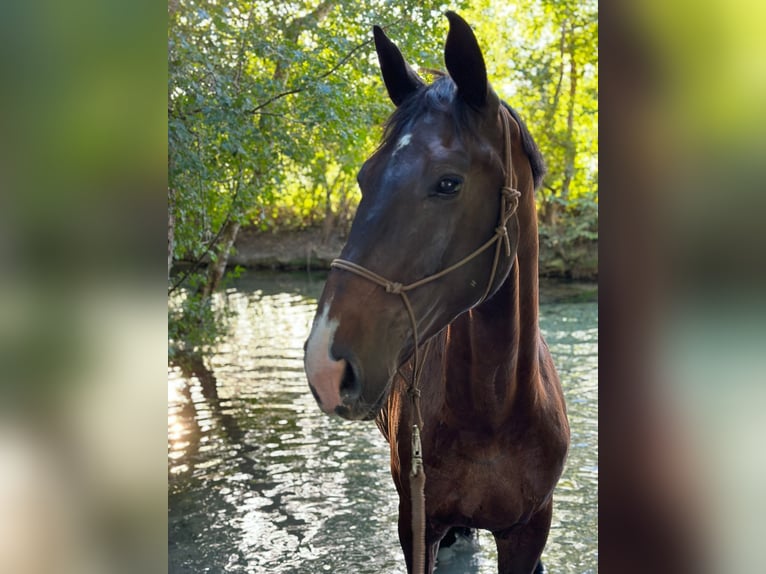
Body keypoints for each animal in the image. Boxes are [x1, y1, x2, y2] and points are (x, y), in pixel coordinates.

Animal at [306, 11, 568, 572]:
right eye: (364, 178)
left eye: (449, 183)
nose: (324, 364)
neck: (495, 416)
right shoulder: (417, 524)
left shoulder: (529, 530)